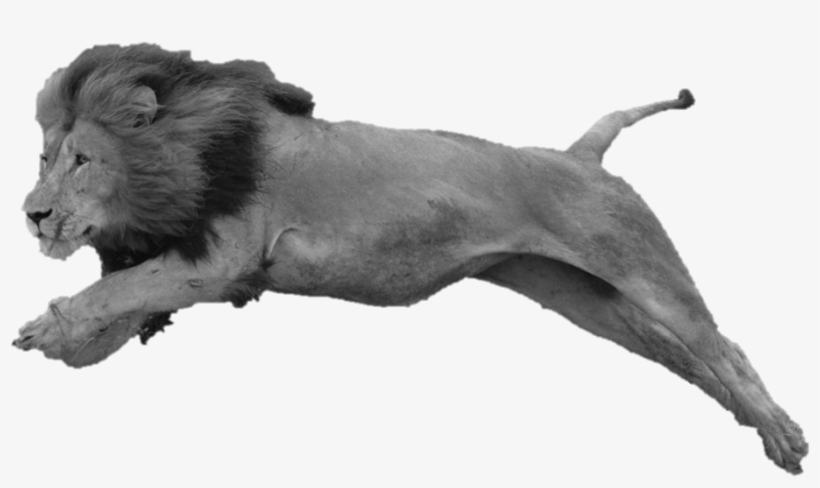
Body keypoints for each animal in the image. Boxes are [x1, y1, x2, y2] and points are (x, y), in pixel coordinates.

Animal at [14, 44, 807, 474]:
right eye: (46, 159)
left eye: (83, 161)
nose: (33, 214)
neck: (189, 148)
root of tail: (580, 154)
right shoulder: (200, 265)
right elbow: (126, 302)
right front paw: (70, 341)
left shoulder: (223, 257)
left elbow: (121, 291)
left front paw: (49, 328)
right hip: (582, 297)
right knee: (687, 358)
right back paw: (760, 431)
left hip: (642, 268)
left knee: (722, 347)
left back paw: (781, 430)